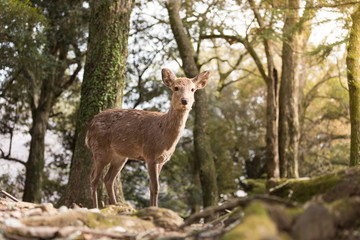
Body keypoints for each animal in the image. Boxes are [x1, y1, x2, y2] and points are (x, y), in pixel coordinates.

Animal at [85, 68, 210, 208]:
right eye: (176, 88)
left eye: (193, 89)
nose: (185, 101)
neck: (164, 138)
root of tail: (88, 129)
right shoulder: (150, 154)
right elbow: (155, 187)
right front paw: (154, 208)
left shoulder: (162, 160)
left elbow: (152, 187)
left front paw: (153, 207)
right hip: (100, 149)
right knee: (93, 179)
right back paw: (96, 207)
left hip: (120, 156)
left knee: (108, 179)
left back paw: (117, 205)